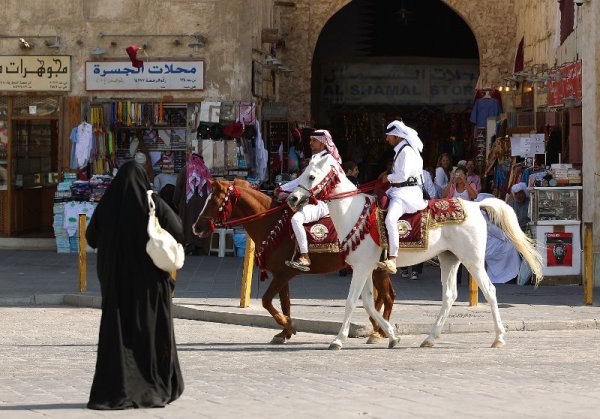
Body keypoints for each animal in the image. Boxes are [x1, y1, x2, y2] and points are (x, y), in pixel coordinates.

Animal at [193, 180, 398, 344]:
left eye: (213, 202)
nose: (196, 227)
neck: (272, 223)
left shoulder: (284, 273)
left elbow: (267, 300)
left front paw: (288, 324)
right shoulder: (281, 275)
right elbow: (285, 303)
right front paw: (285, 332)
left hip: (376, 269)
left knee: (388, 297)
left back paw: (379, 332)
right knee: (383, 297)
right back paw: (378, 327)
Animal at [288, 154, 544, 352]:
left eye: (311, 177)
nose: (292, 198)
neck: (353, 213)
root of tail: (475, 205)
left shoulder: (361, 269)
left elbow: (352, 302)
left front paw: (338, 340)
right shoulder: (366, 267)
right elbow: (368, 303)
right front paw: (392, 336)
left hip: (473, 260)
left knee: (489, 291)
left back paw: (499, 338)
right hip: (449, 259)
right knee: (449, 295)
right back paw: (430, 338)